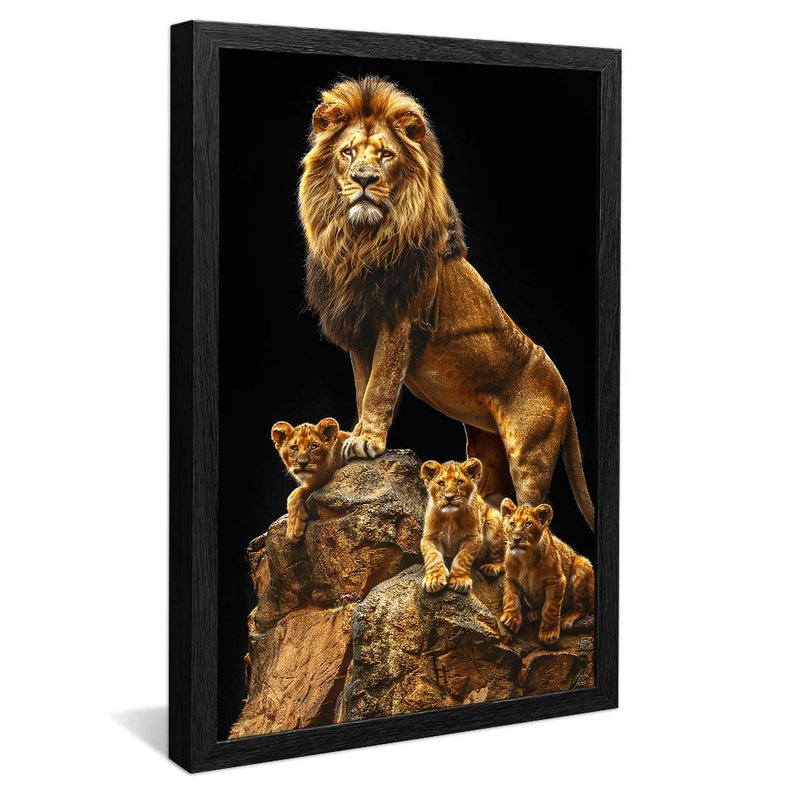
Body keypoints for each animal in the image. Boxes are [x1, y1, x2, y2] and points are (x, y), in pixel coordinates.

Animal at [299, 76, 595, 531]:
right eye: (347, 152)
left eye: (385, 155)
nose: (363, 179)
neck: (362, 240)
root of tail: (566, 392)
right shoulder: (361, 325)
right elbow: (363, 384)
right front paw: (355, 434)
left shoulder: (401, 319)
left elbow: (380, 386)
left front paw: (367, 440)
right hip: (487, 447)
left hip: (531, 453)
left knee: (536, 508)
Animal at [419, 458, 505, 594]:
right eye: (441, 483)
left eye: (459, 482)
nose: (449, 497)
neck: (450, 517)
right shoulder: (429, 537)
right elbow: (432, 557)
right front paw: (434, 579)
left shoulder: (474, 537)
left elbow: (463, 558)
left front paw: (459, 581)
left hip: (494, 518)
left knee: (502, 559)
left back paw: (492, 567)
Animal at [498, 500, 595, 645]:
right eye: (512, 524)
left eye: (528, 524)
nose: (515, 539)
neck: (526, 558)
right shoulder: (511, 577)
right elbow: (511, 597)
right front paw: (511, 618)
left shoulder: (556, 580)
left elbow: (551, 609)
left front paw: (548, 634)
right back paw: (534, 614)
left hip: (581, 563)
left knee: (583, 608)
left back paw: (565, 619)